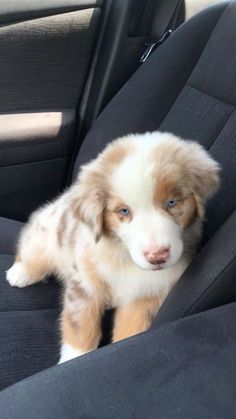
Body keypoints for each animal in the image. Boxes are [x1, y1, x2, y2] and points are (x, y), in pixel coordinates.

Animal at [5, 132, 219, 364]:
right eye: (124, 211)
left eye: (172, 202)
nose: (157, 256)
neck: (123, 256)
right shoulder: (84, 284)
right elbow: (80, 327)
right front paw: (73, 359)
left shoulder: (145, 296)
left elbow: (130, 330)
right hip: (44, 234)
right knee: (31, 251)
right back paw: (19, 273)